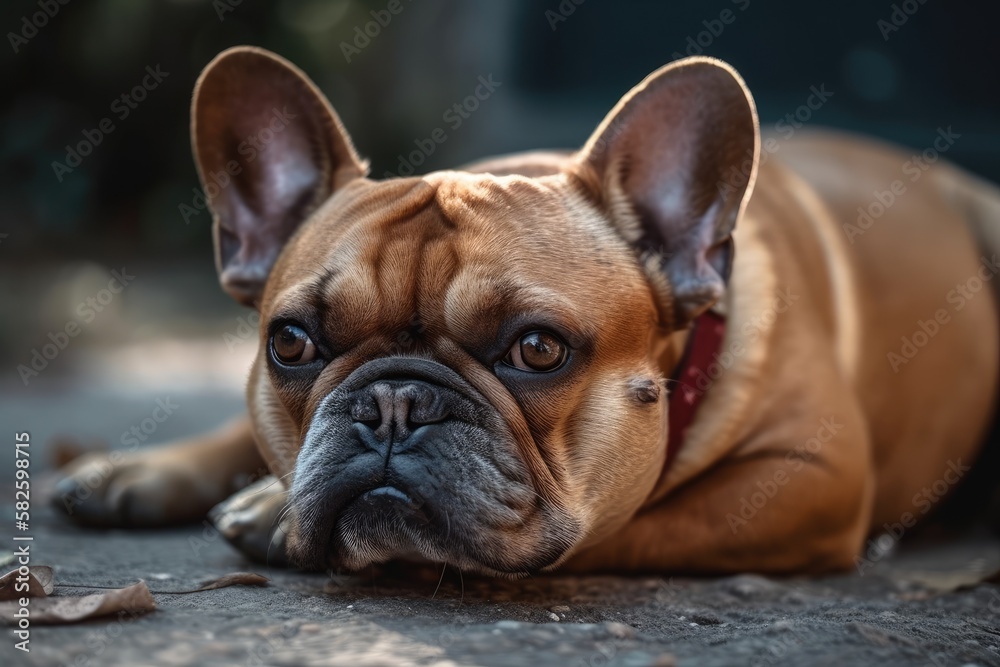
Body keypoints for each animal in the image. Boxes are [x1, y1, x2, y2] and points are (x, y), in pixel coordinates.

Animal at [52, 47, 1000, 576]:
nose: (393, 402)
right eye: (291, 342)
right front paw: (229, 486)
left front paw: (269, 510)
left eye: (538, 350)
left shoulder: (811, 473)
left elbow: (632, 522)